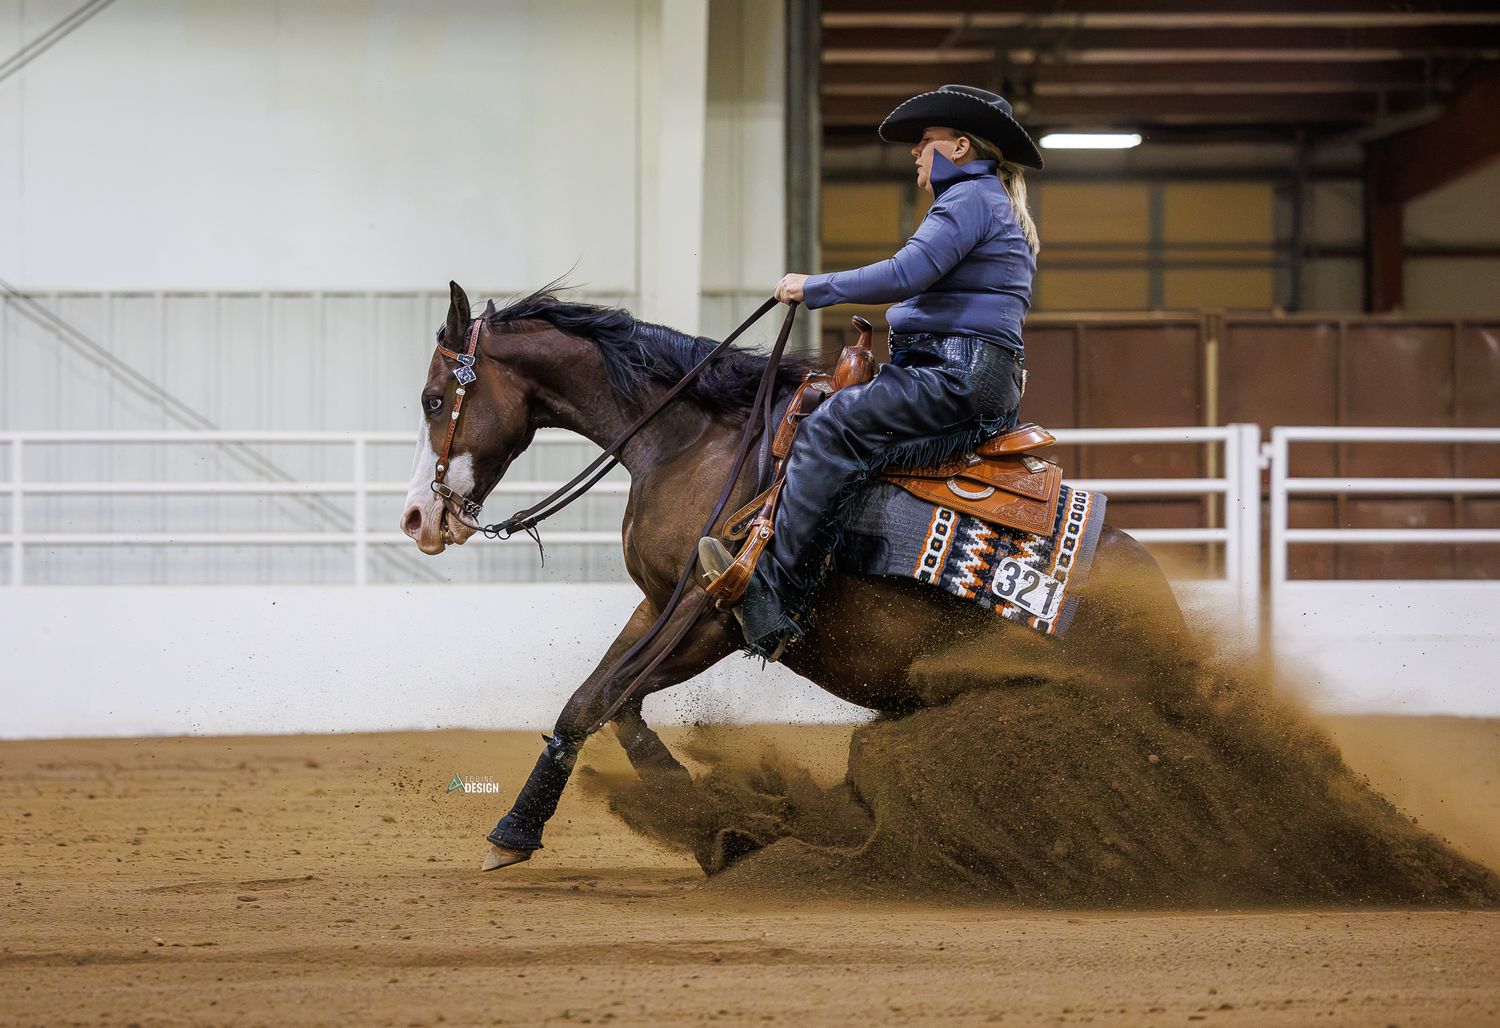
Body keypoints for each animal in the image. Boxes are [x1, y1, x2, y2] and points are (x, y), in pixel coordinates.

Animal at [400, 282, 1188, 872]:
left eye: (434, 399)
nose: (416, 518)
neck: (694, 442)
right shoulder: (660, 603)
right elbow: (602, 703)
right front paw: (700, 819)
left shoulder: (712, 614)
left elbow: (596, 702)